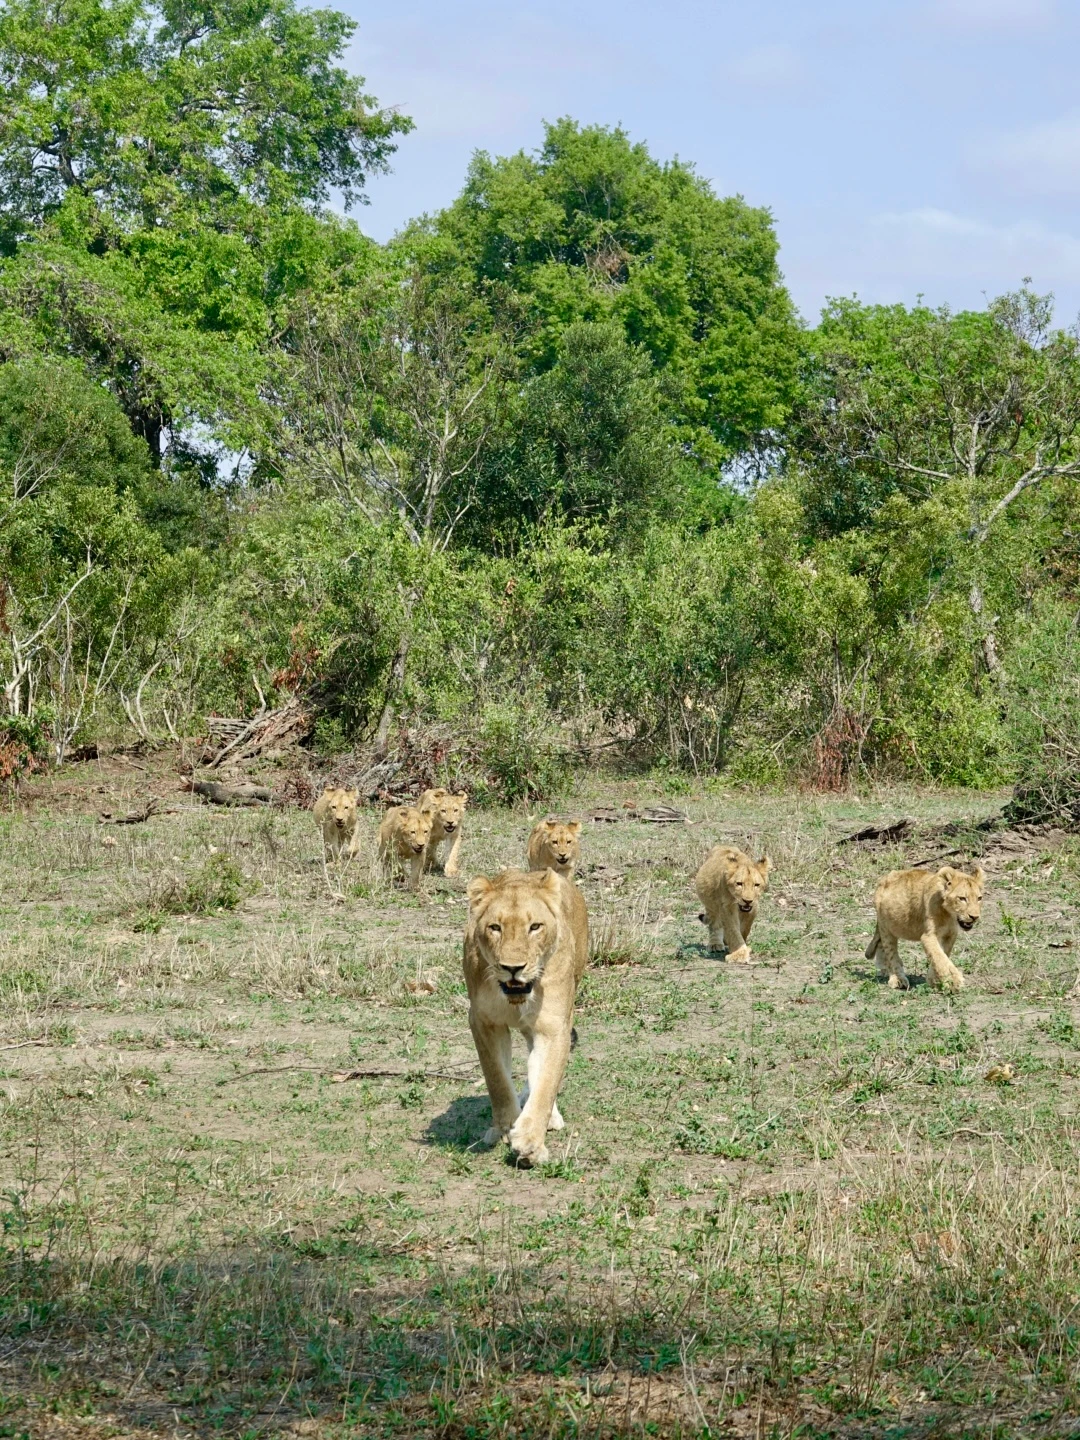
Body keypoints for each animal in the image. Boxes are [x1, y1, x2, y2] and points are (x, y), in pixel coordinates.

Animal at [463, 868, 588, 1168]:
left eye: (535, 927)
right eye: (495, 927)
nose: (513, 968)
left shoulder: (553, 1026)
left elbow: (546, 1084)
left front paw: (530, 1142)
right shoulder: (483, 1021)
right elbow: (496, 1077)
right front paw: (505, 1126)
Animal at [865, 864, 985, 993]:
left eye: (979, 898)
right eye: (962, 898)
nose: (974, 917)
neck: (949, 915)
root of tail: (884, 878)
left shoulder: (950, 935)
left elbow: (941, 955)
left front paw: (934, 981)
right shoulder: (928, 936)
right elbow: (939, 957)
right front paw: (955, 981)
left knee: (881, 944)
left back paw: (882, 969)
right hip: (886, 928)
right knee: (891, 953)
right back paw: (897, 979)